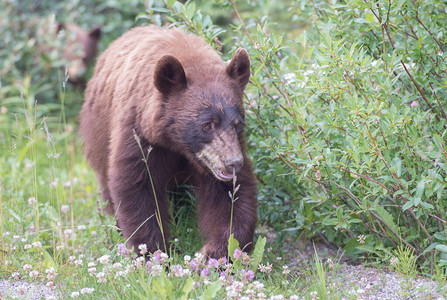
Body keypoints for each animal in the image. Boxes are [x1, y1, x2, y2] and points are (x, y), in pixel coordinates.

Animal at [79, 24, 258, 258]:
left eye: (237, 124)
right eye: (207, 125)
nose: (233, 163)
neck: (177, 144)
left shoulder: (226, 152)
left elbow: (230, 196)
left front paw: (216, 253)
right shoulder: (138, 133)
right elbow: (136, 186)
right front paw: (152, 251)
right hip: (99, 129)